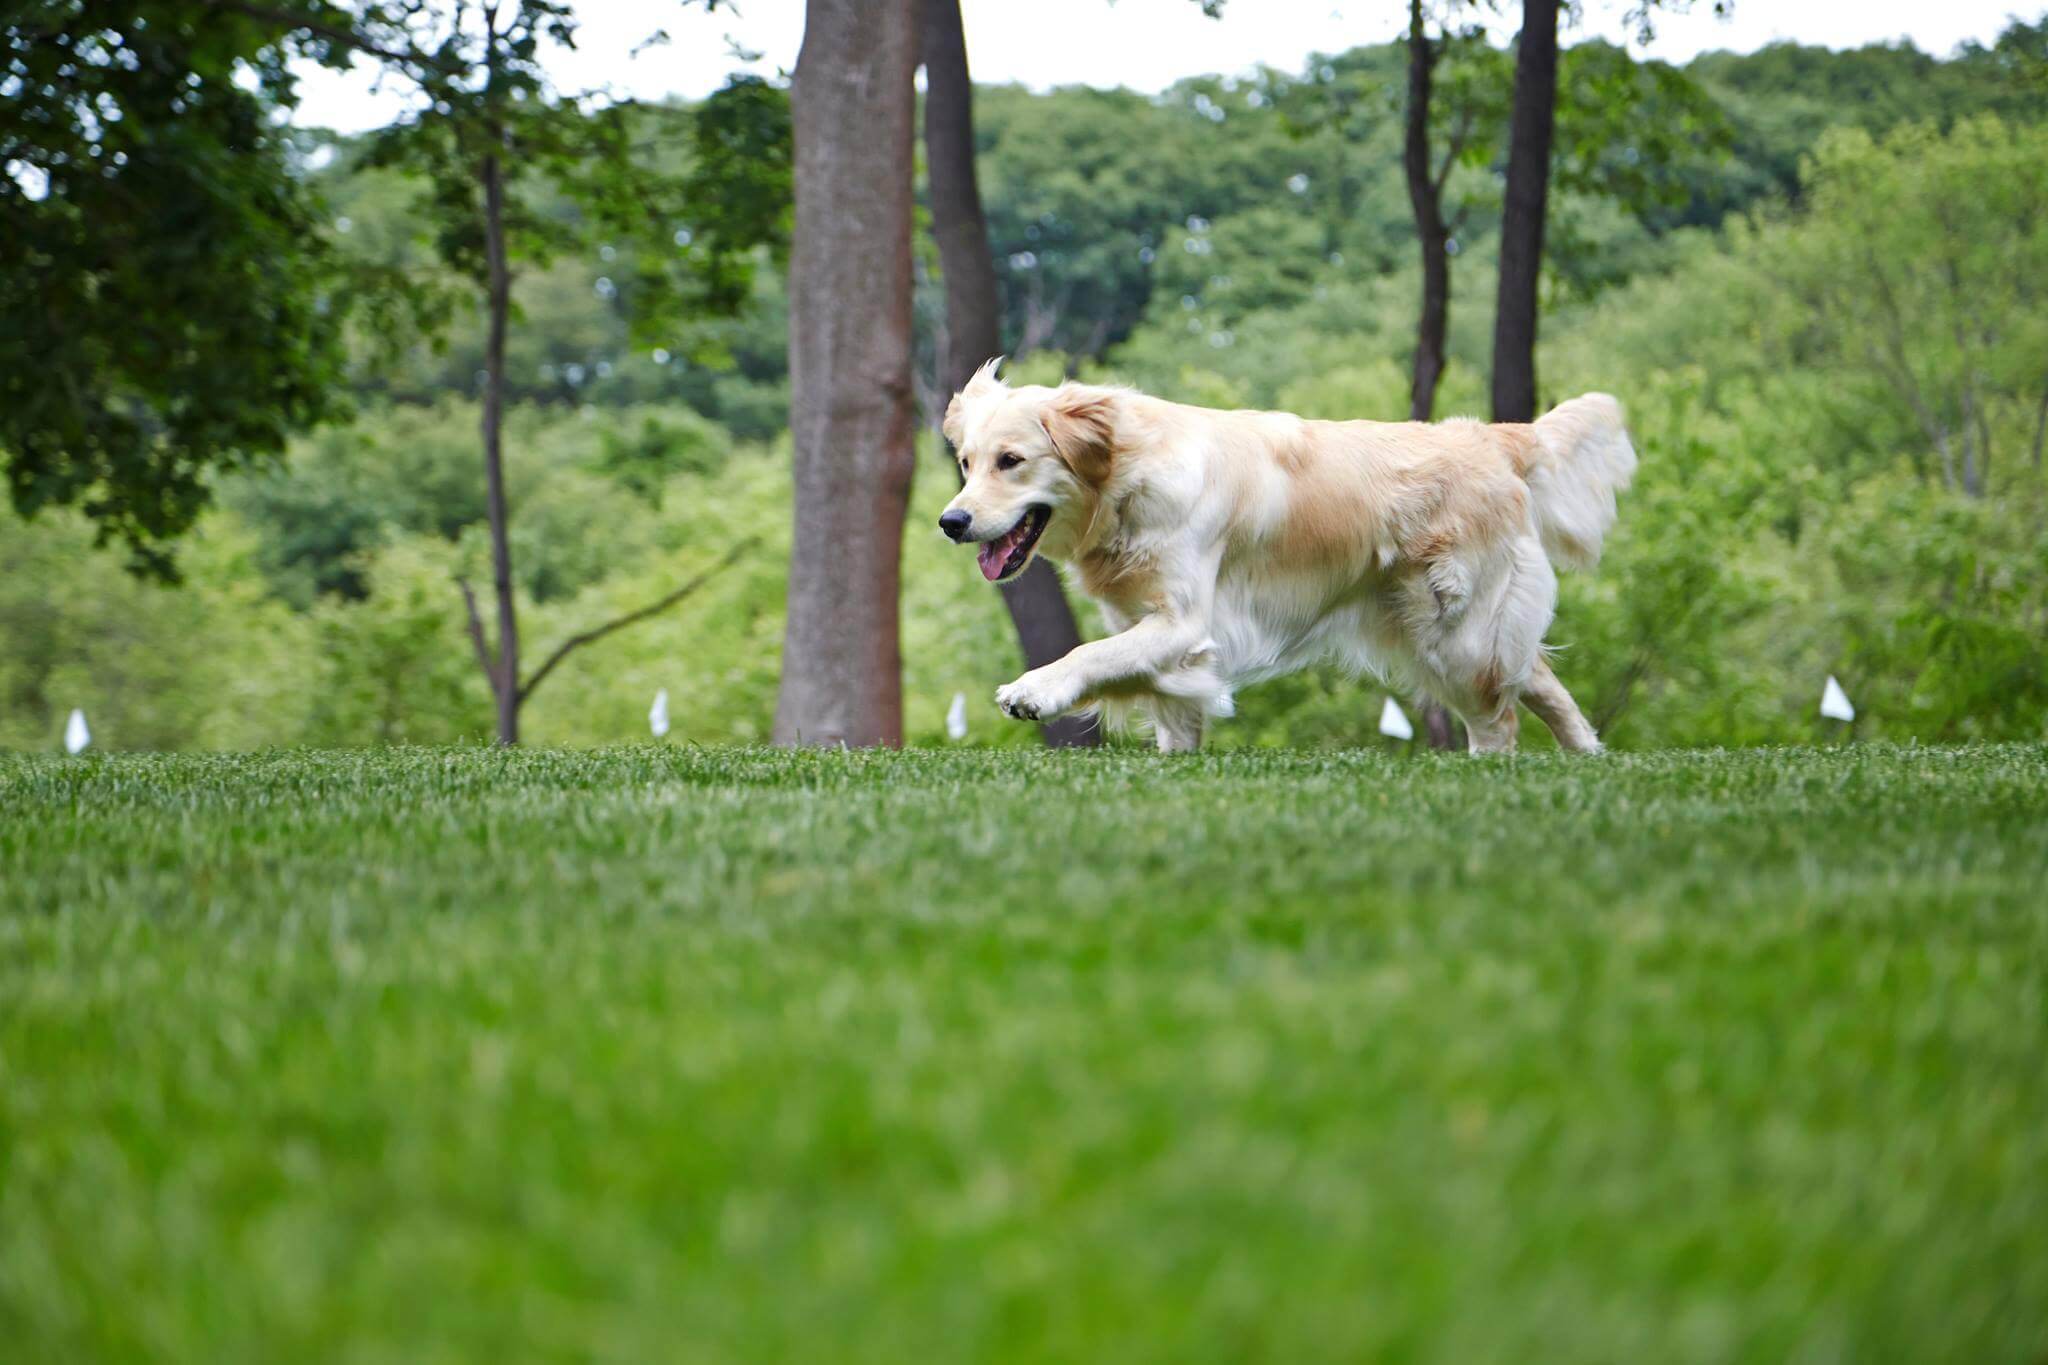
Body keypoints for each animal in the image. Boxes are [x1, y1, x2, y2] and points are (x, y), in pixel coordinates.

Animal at [937, 358, 1630, 753]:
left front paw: (1034, 690)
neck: (1128, 479)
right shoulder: (1154, 632)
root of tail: (1489, 437)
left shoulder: (1183, 623)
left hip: (1453, 630)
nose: (950, 521)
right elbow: (1169, 717)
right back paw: (1586, 755)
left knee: (1498, 720)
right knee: (1537, 678)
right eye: (967, 463)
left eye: (1011, 461)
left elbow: (1089, 654)